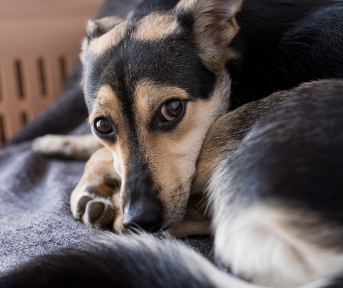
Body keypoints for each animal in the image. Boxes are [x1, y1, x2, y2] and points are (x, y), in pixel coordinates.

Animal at [22, 0, 343, 286]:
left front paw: (89, 186)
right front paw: (57, 143)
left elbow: (100, 156)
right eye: (102, 125)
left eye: (173, 108)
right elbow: (100, 149)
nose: (140, 220)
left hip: (236, 125)